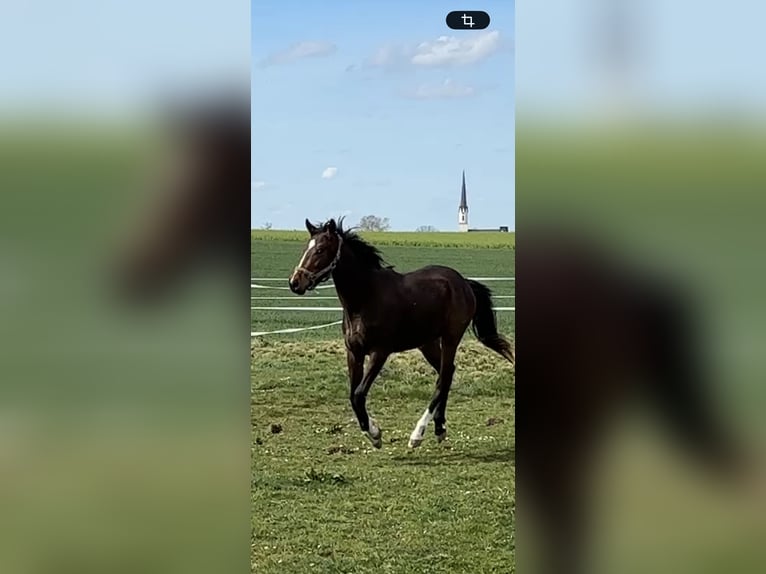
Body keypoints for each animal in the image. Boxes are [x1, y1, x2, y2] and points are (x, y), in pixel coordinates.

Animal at [288, 217, 514, 449]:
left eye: (321, 250)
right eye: (305, 248)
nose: (295, 283)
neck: (364, 299)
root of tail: (464, 283)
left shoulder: (379, 352)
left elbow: (359, 394)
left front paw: (375, 434)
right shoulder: (354, 353)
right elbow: (353, 395)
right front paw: (373, 430)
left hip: (451, 337)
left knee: (443, 378)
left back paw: (418, 434)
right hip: (427, 343)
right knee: (447, 373)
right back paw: (439, 428)